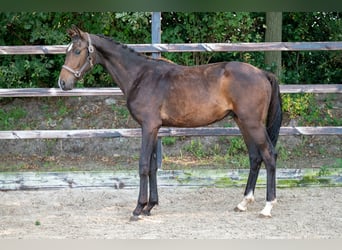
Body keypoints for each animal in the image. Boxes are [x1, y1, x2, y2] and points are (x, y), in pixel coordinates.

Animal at [58, 24, 284, 217]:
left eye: (77, 51)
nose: (62, 83)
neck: (141, 76)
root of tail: (262, 73)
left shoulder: (148, 127)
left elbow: (143, 165)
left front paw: (138, 208)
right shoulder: (154, 128)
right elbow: (152, 166)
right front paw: (150, 206)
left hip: (253, 124)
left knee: (269, 155)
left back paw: (267, 207)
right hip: (242, 122)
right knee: (255, 158)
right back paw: (243, 203)